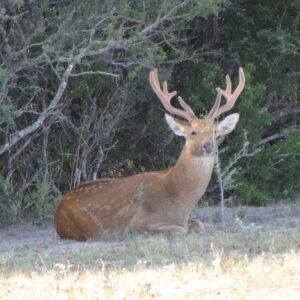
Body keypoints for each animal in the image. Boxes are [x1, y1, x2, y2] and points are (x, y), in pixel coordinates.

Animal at [55, 67, 245, 240]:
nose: (209, 146)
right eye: (193, 132)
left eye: (214, 132)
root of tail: (59, 207)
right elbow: (180, 230)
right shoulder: (138, 223)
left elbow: (199, 225)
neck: (181, 201)